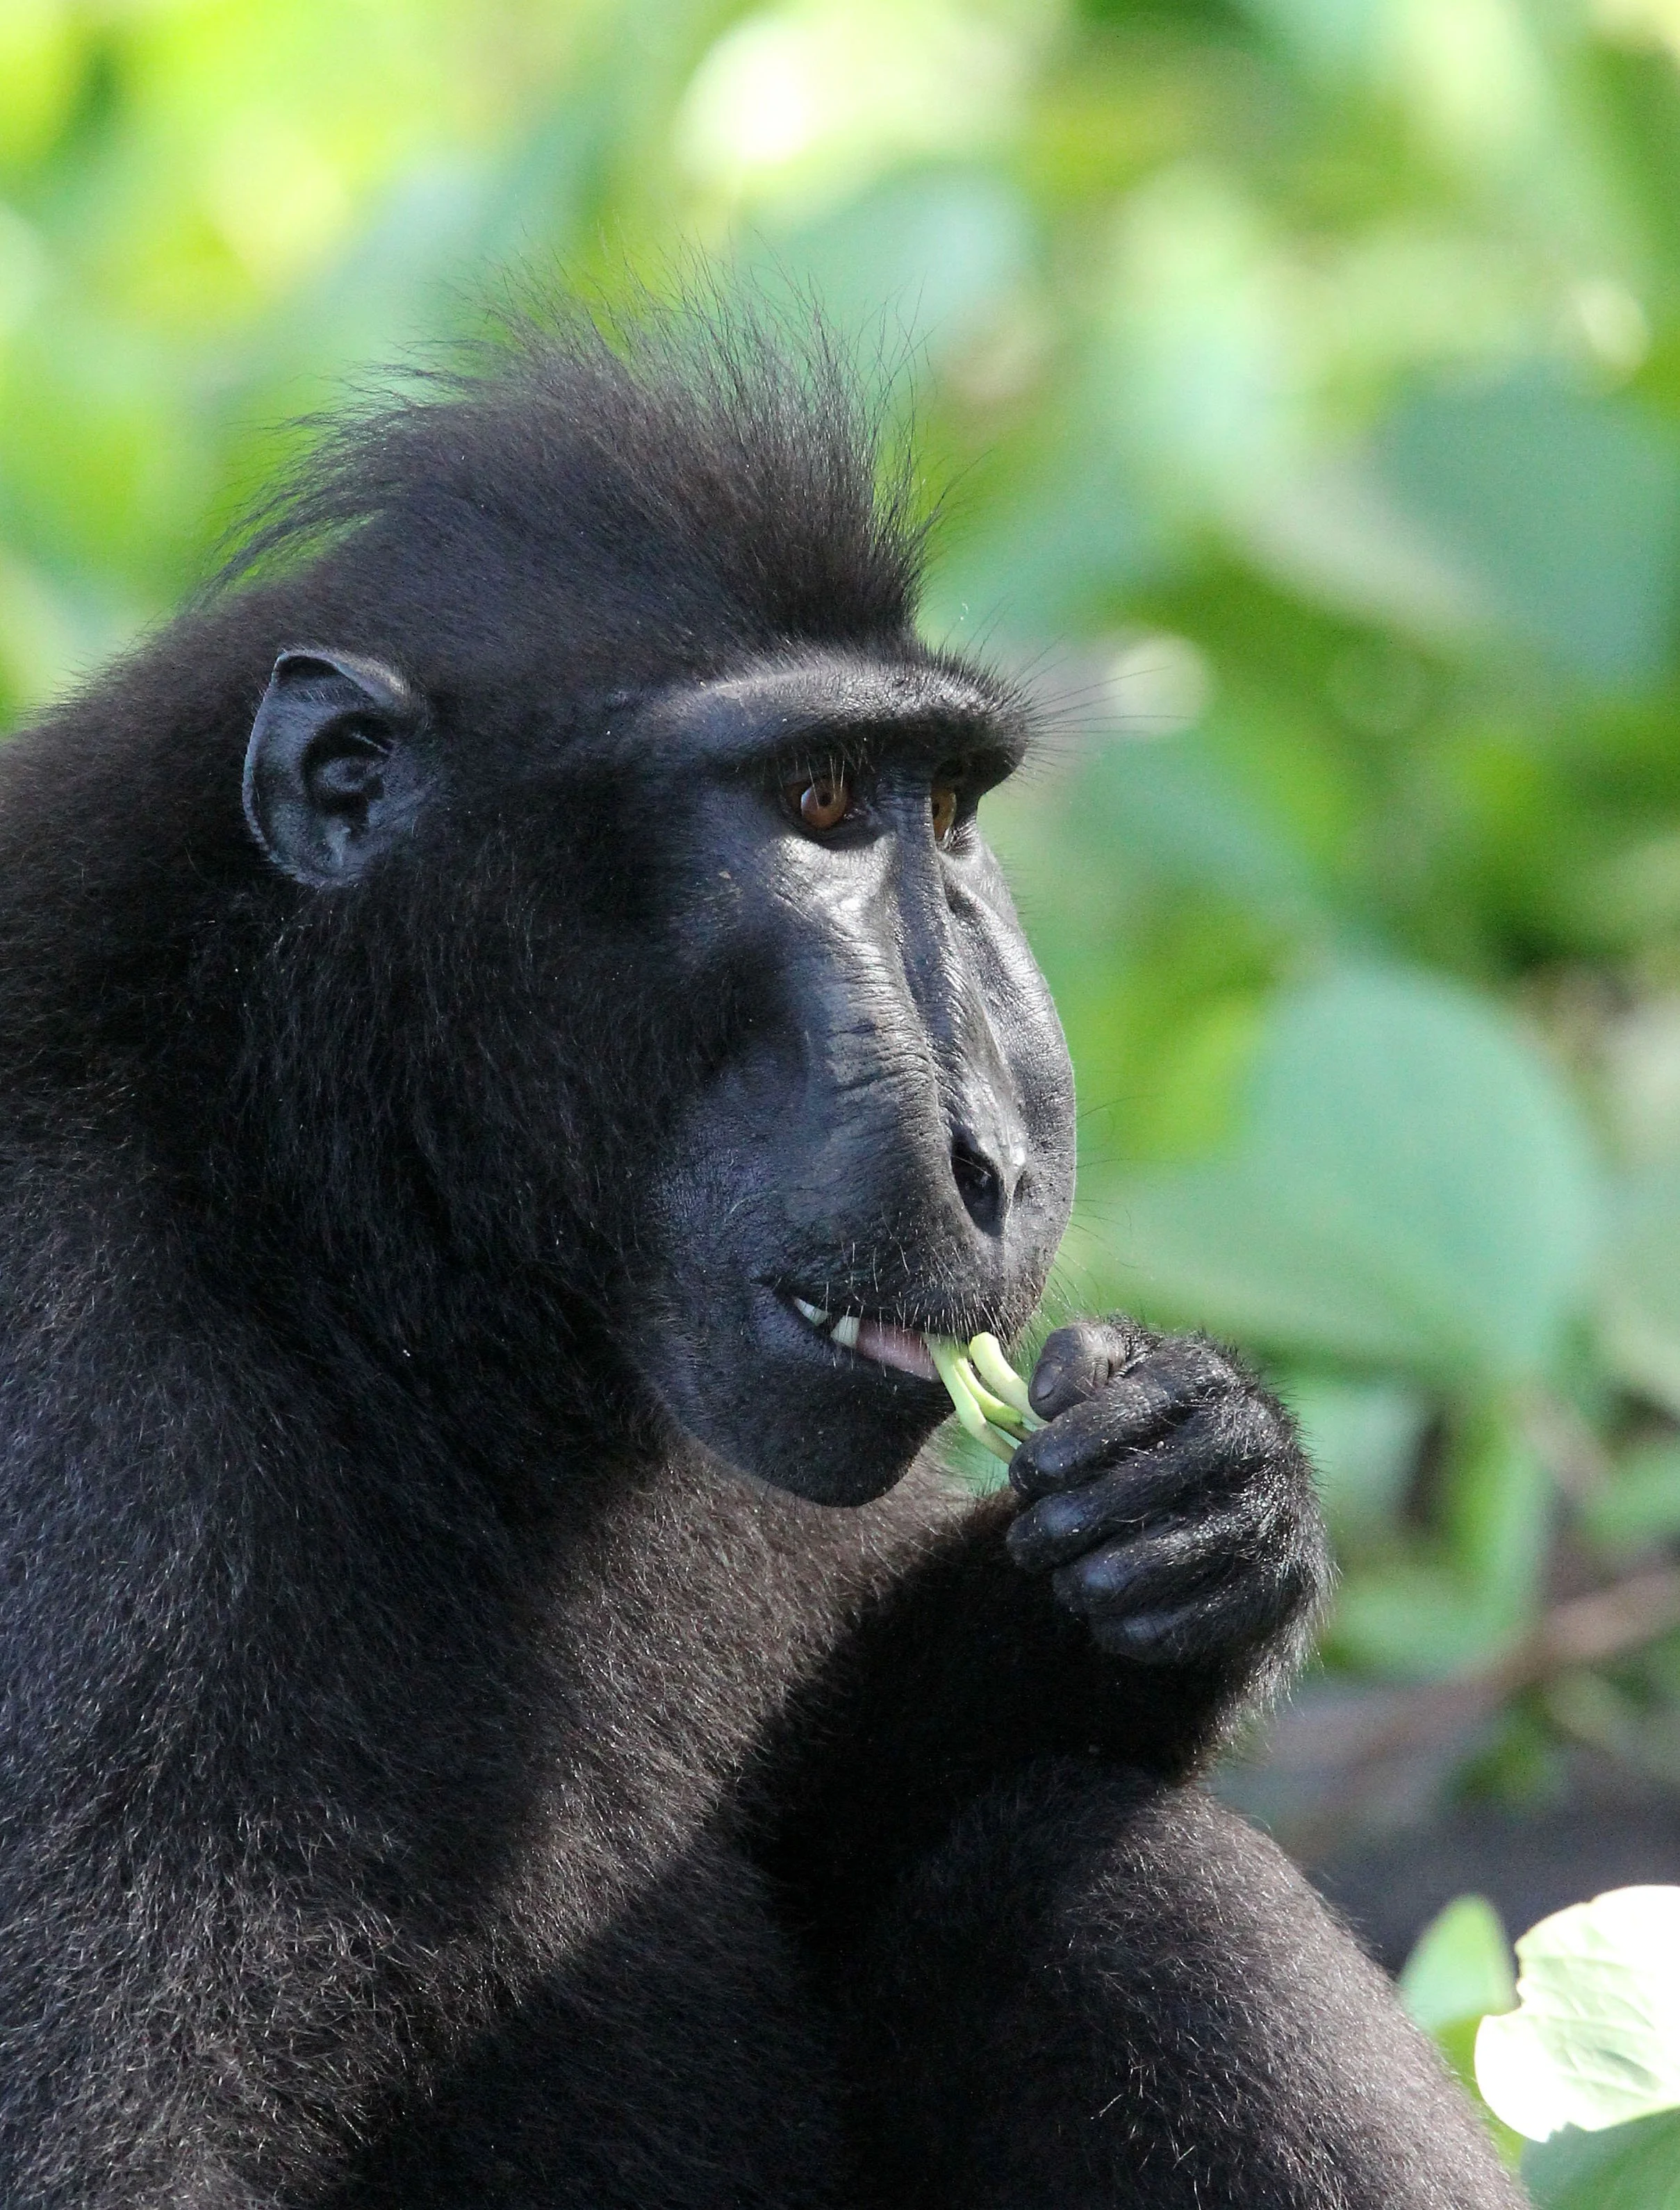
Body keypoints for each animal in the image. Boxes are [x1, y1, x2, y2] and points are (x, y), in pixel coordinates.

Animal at [0, 308, 1522, 2208]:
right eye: (816, 799)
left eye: (951, 811)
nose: (1002, 1152)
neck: (335, 1231)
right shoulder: (86, 1425)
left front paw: (1209, 1483)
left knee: (1092, 1862)